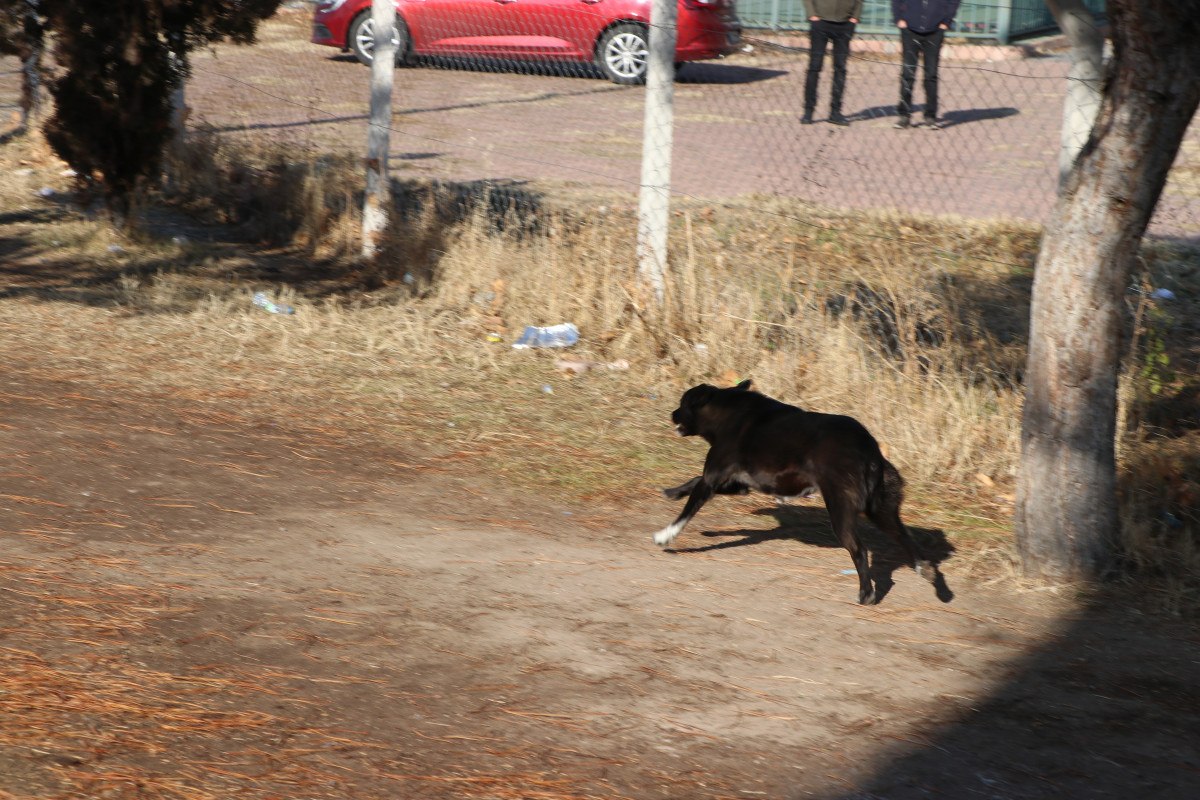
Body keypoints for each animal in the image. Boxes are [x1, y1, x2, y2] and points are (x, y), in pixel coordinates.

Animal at [652, 381, 940, 606]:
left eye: (683, 403)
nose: (671, 413)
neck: (726, 413)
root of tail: (870, 449)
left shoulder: (713, 479)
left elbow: (687, 511)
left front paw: (665, 536)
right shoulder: (738, 484)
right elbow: (693, 481)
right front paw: (673, 492)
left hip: (841, 510)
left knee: (859, 550)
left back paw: (866, 594)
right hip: (880, 510)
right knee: (905, 537)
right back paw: (927, 572)